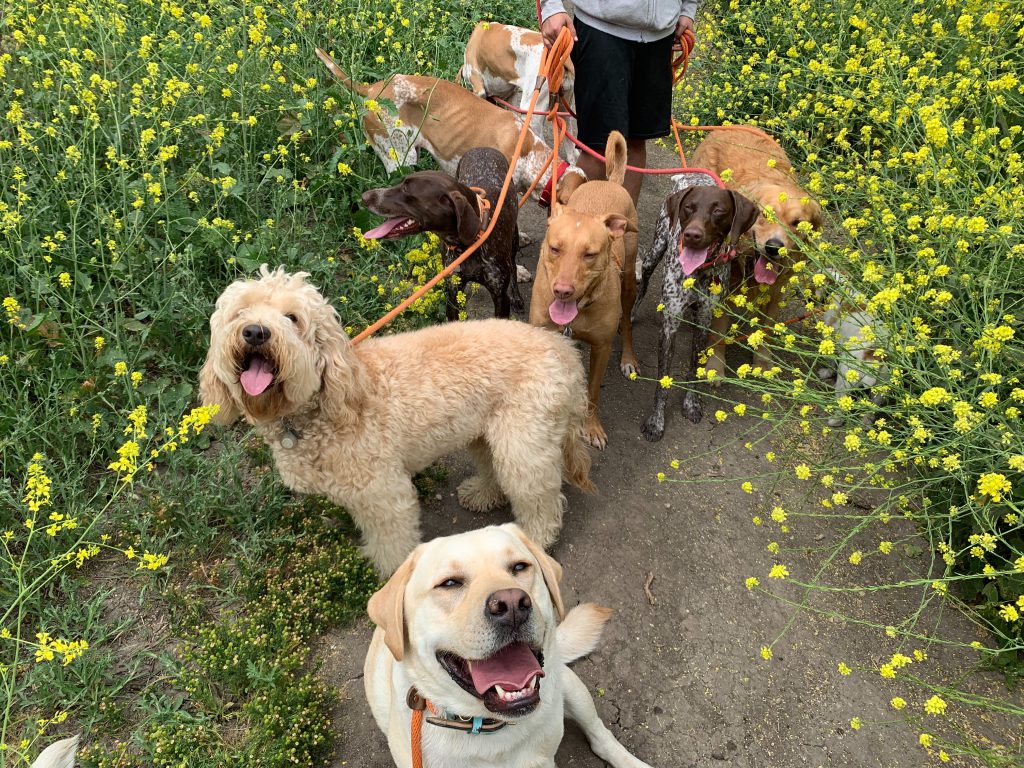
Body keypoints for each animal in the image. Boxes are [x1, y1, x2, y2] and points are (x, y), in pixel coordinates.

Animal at [198, 268, 593, 573]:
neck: (325, 403)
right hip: (485, 431)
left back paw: (536, 541)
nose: (255, 332)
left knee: (539, 499)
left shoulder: (385, 494)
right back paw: (482, 494)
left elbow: (392, 544)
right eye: (240, 312)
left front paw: (392, 578)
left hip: (523, 443)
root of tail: (563, 349)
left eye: (292, 318)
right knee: (491, 465)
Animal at [364, 528, 651, 768]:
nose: (512, 604)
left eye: (520, 567)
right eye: (449, 583)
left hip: (571, 687)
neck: (486, 725)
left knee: (601, 735)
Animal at [688, 128, 823, 374]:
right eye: (764, 214)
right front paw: (715, 367)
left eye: (797, 223)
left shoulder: (776, 291)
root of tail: (728, 126)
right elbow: (718, 334)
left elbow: (768, 330)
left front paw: (763, 362)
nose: (774, 247)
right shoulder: (727, 288)